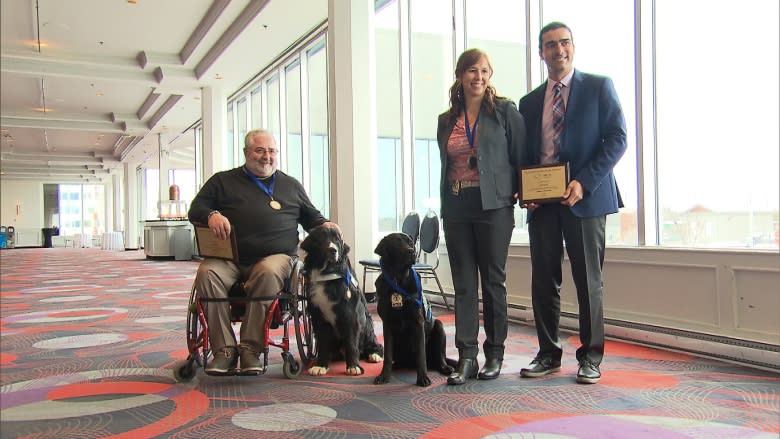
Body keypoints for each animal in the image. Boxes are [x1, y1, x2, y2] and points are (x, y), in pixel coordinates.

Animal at [298, 225, 384, 376]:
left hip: (367, 324)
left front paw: (354, 367)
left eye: (337, 240)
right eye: (321, 238)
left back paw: (374, 354)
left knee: (375, 344)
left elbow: (351, 343)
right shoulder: (319, 318)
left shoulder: (349, 315)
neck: (326, 273)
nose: (333, 250)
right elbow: (323, 344)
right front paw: (321, 365)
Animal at [374, 232, 458, 386]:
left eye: (411, 242)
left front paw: (423, 378)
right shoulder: (387, 324)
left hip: (439, 327)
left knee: (440, 357)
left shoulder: (418, 322)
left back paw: (445, 367)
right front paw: (384, 376)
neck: (398, 281)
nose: (411, 252)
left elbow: (421, 356)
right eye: (396, 242)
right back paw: (396, 366)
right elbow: (387, 354)